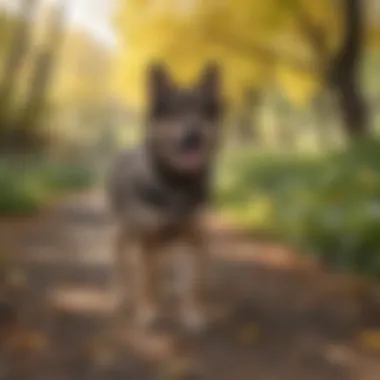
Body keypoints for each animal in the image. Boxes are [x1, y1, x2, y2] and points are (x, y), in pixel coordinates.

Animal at [107, 62, 223, 332]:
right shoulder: (148, 241)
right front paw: (148, 311)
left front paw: (192, 314)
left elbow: (191, 283)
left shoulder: (194, 239)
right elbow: (147, 280)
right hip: (123, 234)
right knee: (125, 267)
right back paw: (124, 294)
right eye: (174, 113)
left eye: (202, 112)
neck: (176, 183)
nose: (193, 135)